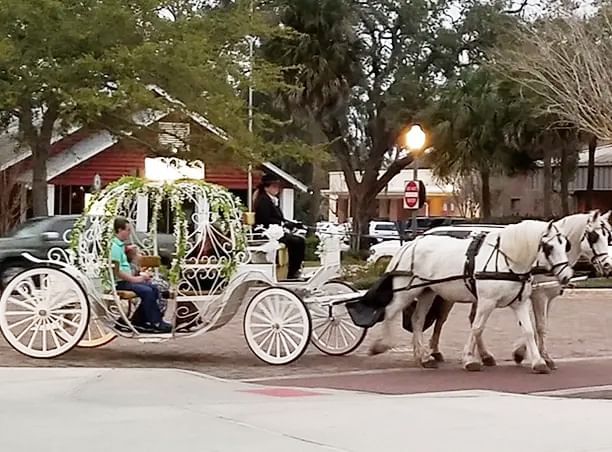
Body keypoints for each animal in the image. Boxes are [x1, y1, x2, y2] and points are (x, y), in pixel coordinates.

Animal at [364, 218, 572, 370]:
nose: (567, 275)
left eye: (565, 245)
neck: (507, 260)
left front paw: (538, 362)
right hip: (408, 290)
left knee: (417, 319)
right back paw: (381, 345)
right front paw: (470, 359)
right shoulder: (486, 302)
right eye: (549, 247)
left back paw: (423, 357)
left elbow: (528, 330)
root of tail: (410, 244)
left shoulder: (519, 302)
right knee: (390, 311)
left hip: (427, 292)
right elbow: (477, 328)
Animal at [420, 212, 612, 370]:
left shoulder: (543, 297)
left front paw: (526, 353)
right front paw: (536, 356)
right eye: (594, 236)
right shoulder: (539, 296)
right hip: (448, 293)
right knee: (441, 320)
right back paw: (435, 351)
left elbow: (537, 326)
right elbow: (539, 326)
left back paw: (483, 356)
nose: (608, 265)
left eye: (608, 236)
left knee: (469, 320)